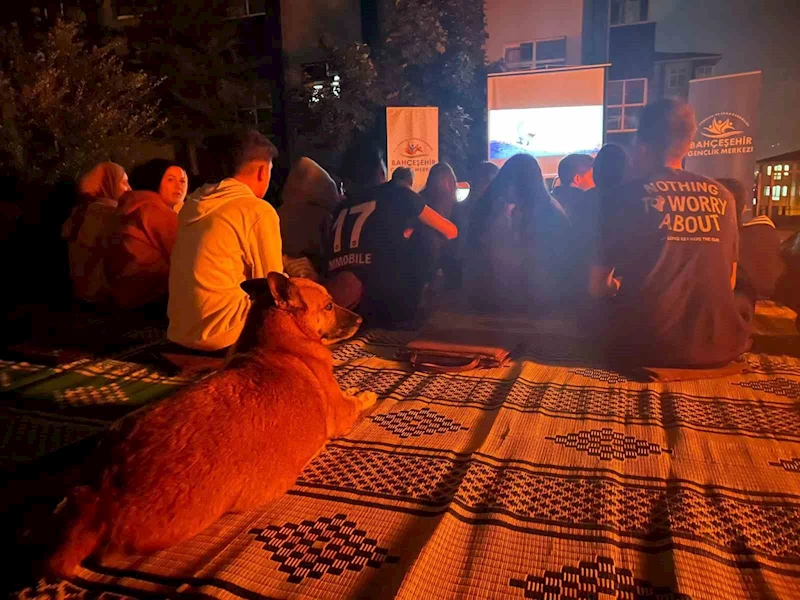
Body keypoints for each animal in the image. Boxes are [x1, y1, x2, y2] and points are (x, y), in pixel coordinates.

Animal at [47, 274, 378, 580]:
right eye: (329, 305)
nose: (363, 319)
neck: (277, 343)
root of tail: (105, 494)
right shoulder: (342, 414)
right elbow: (356, 398)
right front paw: (366, 393)